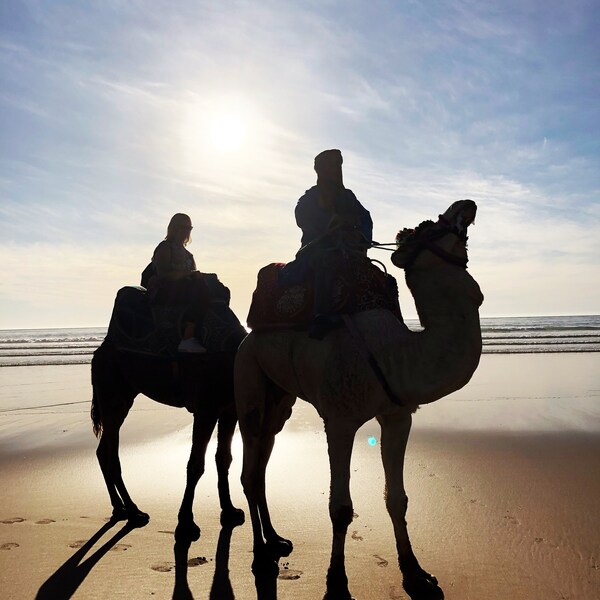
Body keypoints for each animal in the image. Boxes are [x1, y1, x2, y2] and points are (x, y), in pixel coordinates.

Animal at [89, 302, 248, 540]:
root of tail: (98, 353)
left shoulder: (229, 410)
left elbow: (223, 458)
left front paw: (229, 511)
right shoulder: (206, 410)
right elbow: (195, 464)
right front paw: (186, 524)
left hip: (122, 399)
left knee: (103, 451)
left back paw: (119, 508)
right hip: (112, 398)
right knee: (111, 455)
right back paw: (134, 511)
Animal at [233, 199, 482, 596]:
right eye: (429, 226)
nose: (467, 205)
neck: (396, 353)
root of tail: (248, 334)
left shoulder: (398, 415)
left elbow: (398, 499)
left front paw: (417, 572)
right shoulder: (339, 420)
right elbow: (340, 507)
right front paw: (336, 580)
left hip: (280, 398)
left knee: (261, 465)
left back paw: (276, 539)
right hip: (248, 374)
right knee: (248, 466)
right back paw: (260, 553)